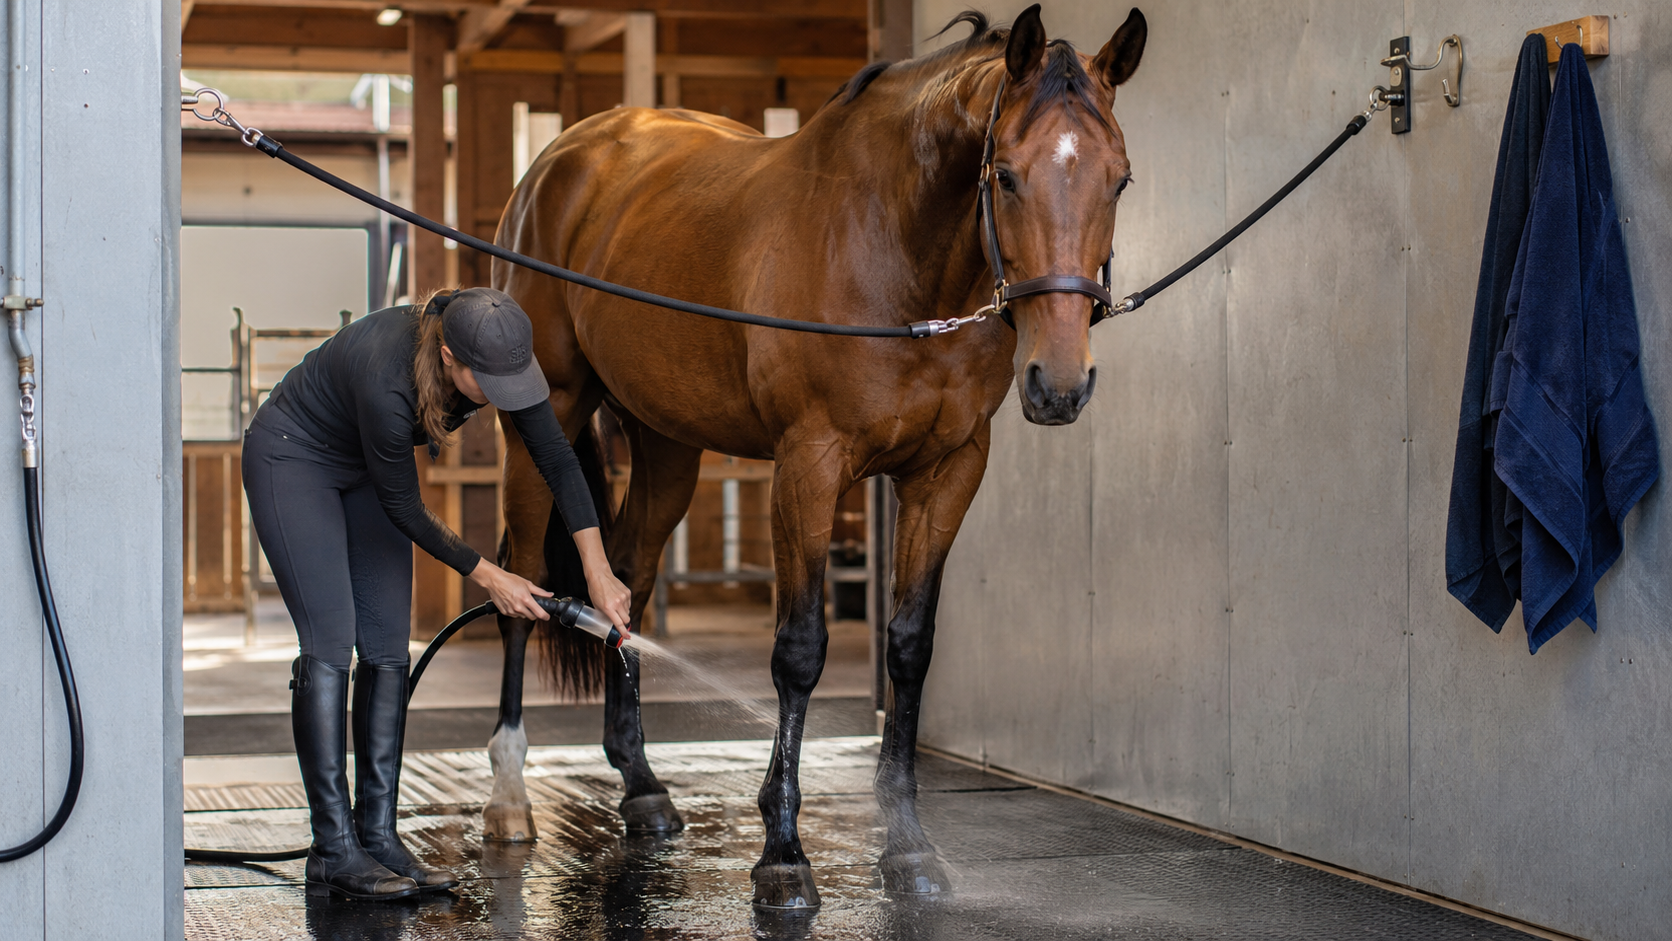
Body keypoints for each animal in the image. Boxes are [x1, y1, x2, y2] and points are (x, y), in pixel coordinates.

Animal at [481, 4, 1147, 908]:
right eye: (1006, 176)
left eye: (1119, 180)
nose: (1060, 382)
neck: (897, 254)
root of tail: (557, 161)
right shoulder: (810, 464)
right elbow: (798, 651)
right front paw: (783, 854)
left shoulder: (948, 470)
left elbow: (910, 645)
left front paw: (908, 846)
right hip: (544, 414)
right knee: (520, 579)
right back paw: (510, 797)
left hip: (667, 443)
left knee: (626, 577)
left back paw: (643, 786)